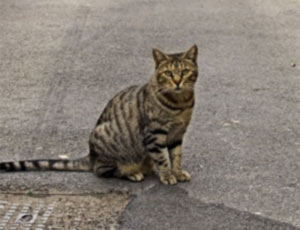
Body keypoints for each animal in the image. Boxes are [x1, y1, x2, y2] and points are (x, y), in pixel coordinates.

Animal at [0, 44, 199, 185]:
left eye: (184, 71)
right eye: (168, 73)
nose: (177, 81)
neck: (180, 103)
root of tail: (91, 154)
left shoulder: (177, 134)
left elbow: (176, 156)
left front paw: (177, 172)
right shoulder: (154, 134)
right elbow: (162, 158)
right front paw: (167, 175)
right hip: (106, 140)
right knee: (102, 170)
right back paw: (131, 173)